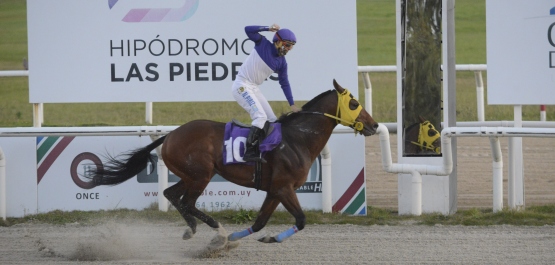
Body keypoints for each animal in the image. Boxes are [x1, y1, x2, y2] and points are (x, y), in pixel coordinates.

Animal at [89, 79, 380, 249]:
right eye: (354, 103)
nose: (375, 125)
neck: (297, 138)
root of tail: (170, 135)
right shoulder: (284, 187)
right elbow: (301, 219)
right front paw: (232, 238)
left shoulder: (274, 190)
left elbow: (261, 222)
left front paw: (254, 237)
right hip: (201, 175)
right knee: (187, 202)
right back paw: (216, 230)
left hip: (190, 174)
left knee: (171, 194)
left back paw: (193, 229)